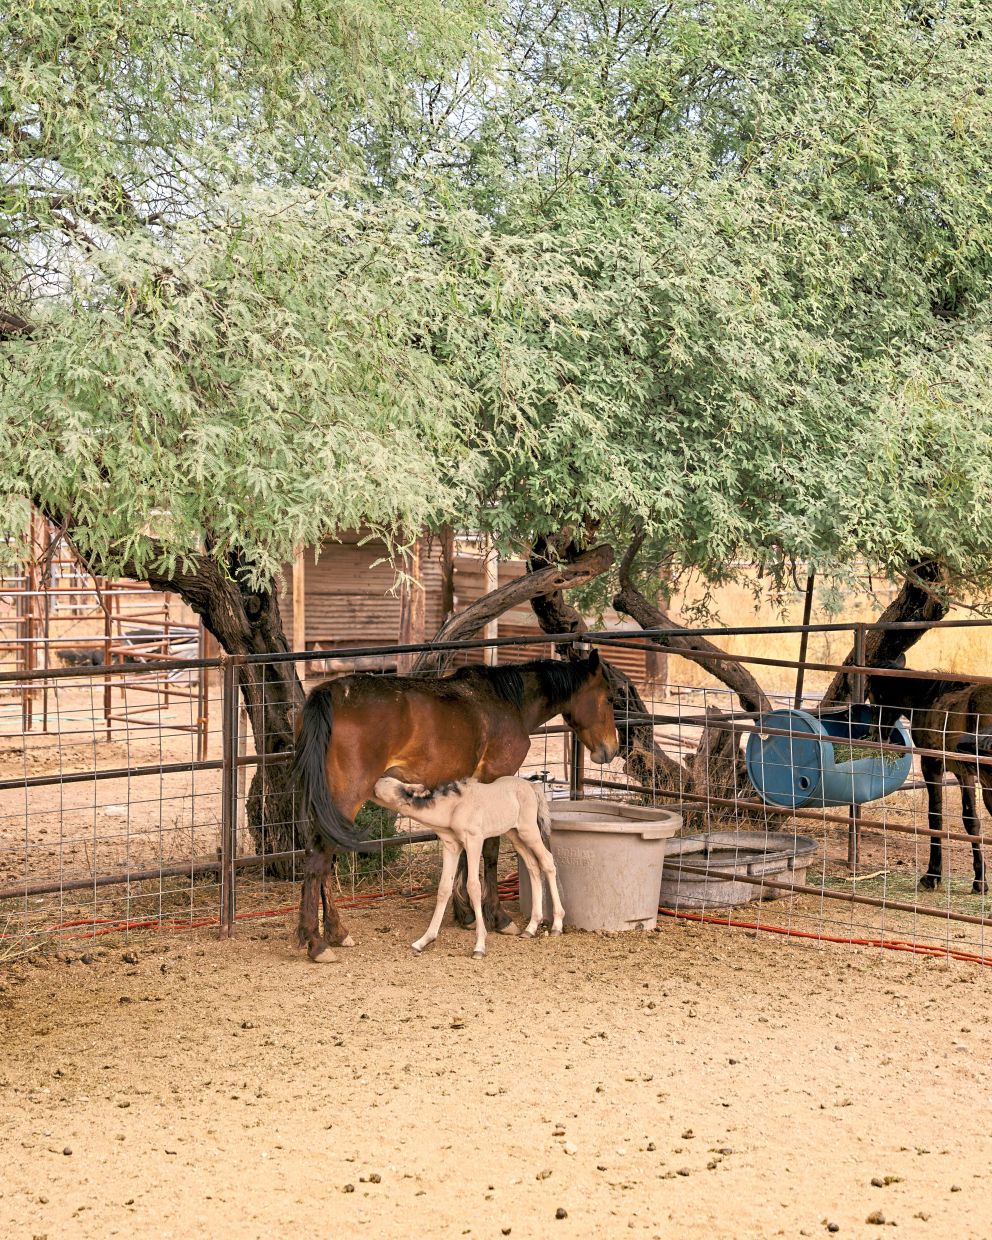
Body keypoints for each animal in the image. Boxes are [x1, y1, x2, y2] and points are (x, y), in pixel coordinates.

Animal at [373, 775, 564, 958]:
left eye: (390, 785)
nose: (375, 782)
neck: (453, 808)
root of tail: (532, 786)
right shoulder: (451, 846)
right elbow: (444, 888)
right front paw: (423, 941)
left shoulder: (473, 841)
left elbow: (473, 886)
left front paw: (479, 946)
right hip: (514, 834)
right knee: (533, 866)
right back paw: (531, 928)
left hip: (528, 831)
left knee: (547, 861)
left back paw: (556, 925)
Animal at [866, 658, 992, 894]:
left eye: (873, 696)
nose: (876, 734)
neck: (927, 699)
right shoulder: (964, 774)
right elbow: (971, 820)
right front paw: (980, 880)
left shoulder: (931, 765)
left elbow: (935, 816)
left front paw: (932, 875)